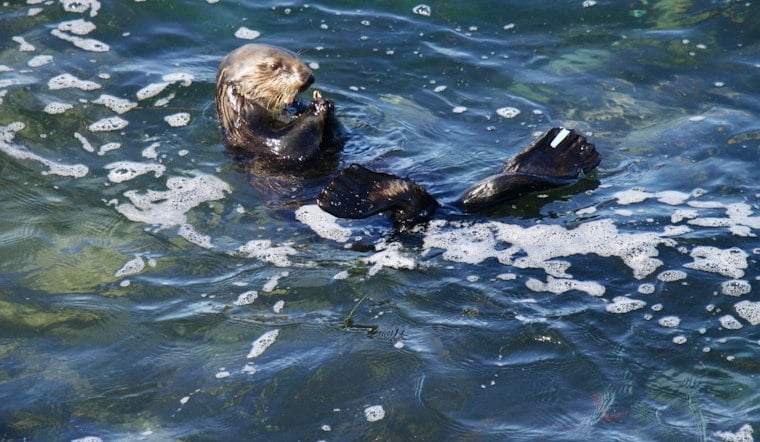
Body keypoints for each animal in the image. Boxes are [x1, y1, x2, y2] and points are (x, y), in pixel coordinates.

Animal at [215, 44, 601, 227]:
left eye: (296, 57)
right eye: (274, 67)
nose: (309, 77)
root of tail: (447, 208)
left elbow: (335, 139)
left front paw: (323, 103)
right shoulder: (256, 139)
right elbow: (290, 146)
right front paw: (317, 108)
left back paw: (564, 151)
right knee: (410, 204)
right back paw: (352, 187)